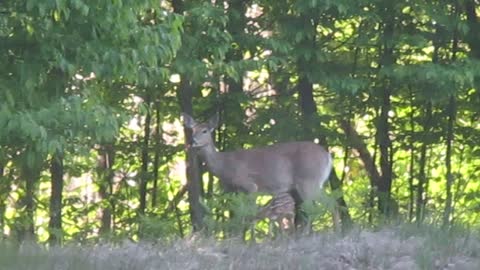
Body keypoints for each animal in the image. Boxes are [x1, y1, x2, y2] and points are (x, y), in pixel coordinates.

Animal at [182, 113, 332, 231]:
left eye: (205, 131)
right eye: (192, 130)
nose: (193, 141)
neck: (224, 166)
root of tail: (327, 156)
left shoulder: (250, 185)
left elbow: (250, 213)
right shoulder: (234, 191)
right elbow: (240, 214)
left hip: (308, 180)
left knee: (325, 204)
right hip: (312, 183)